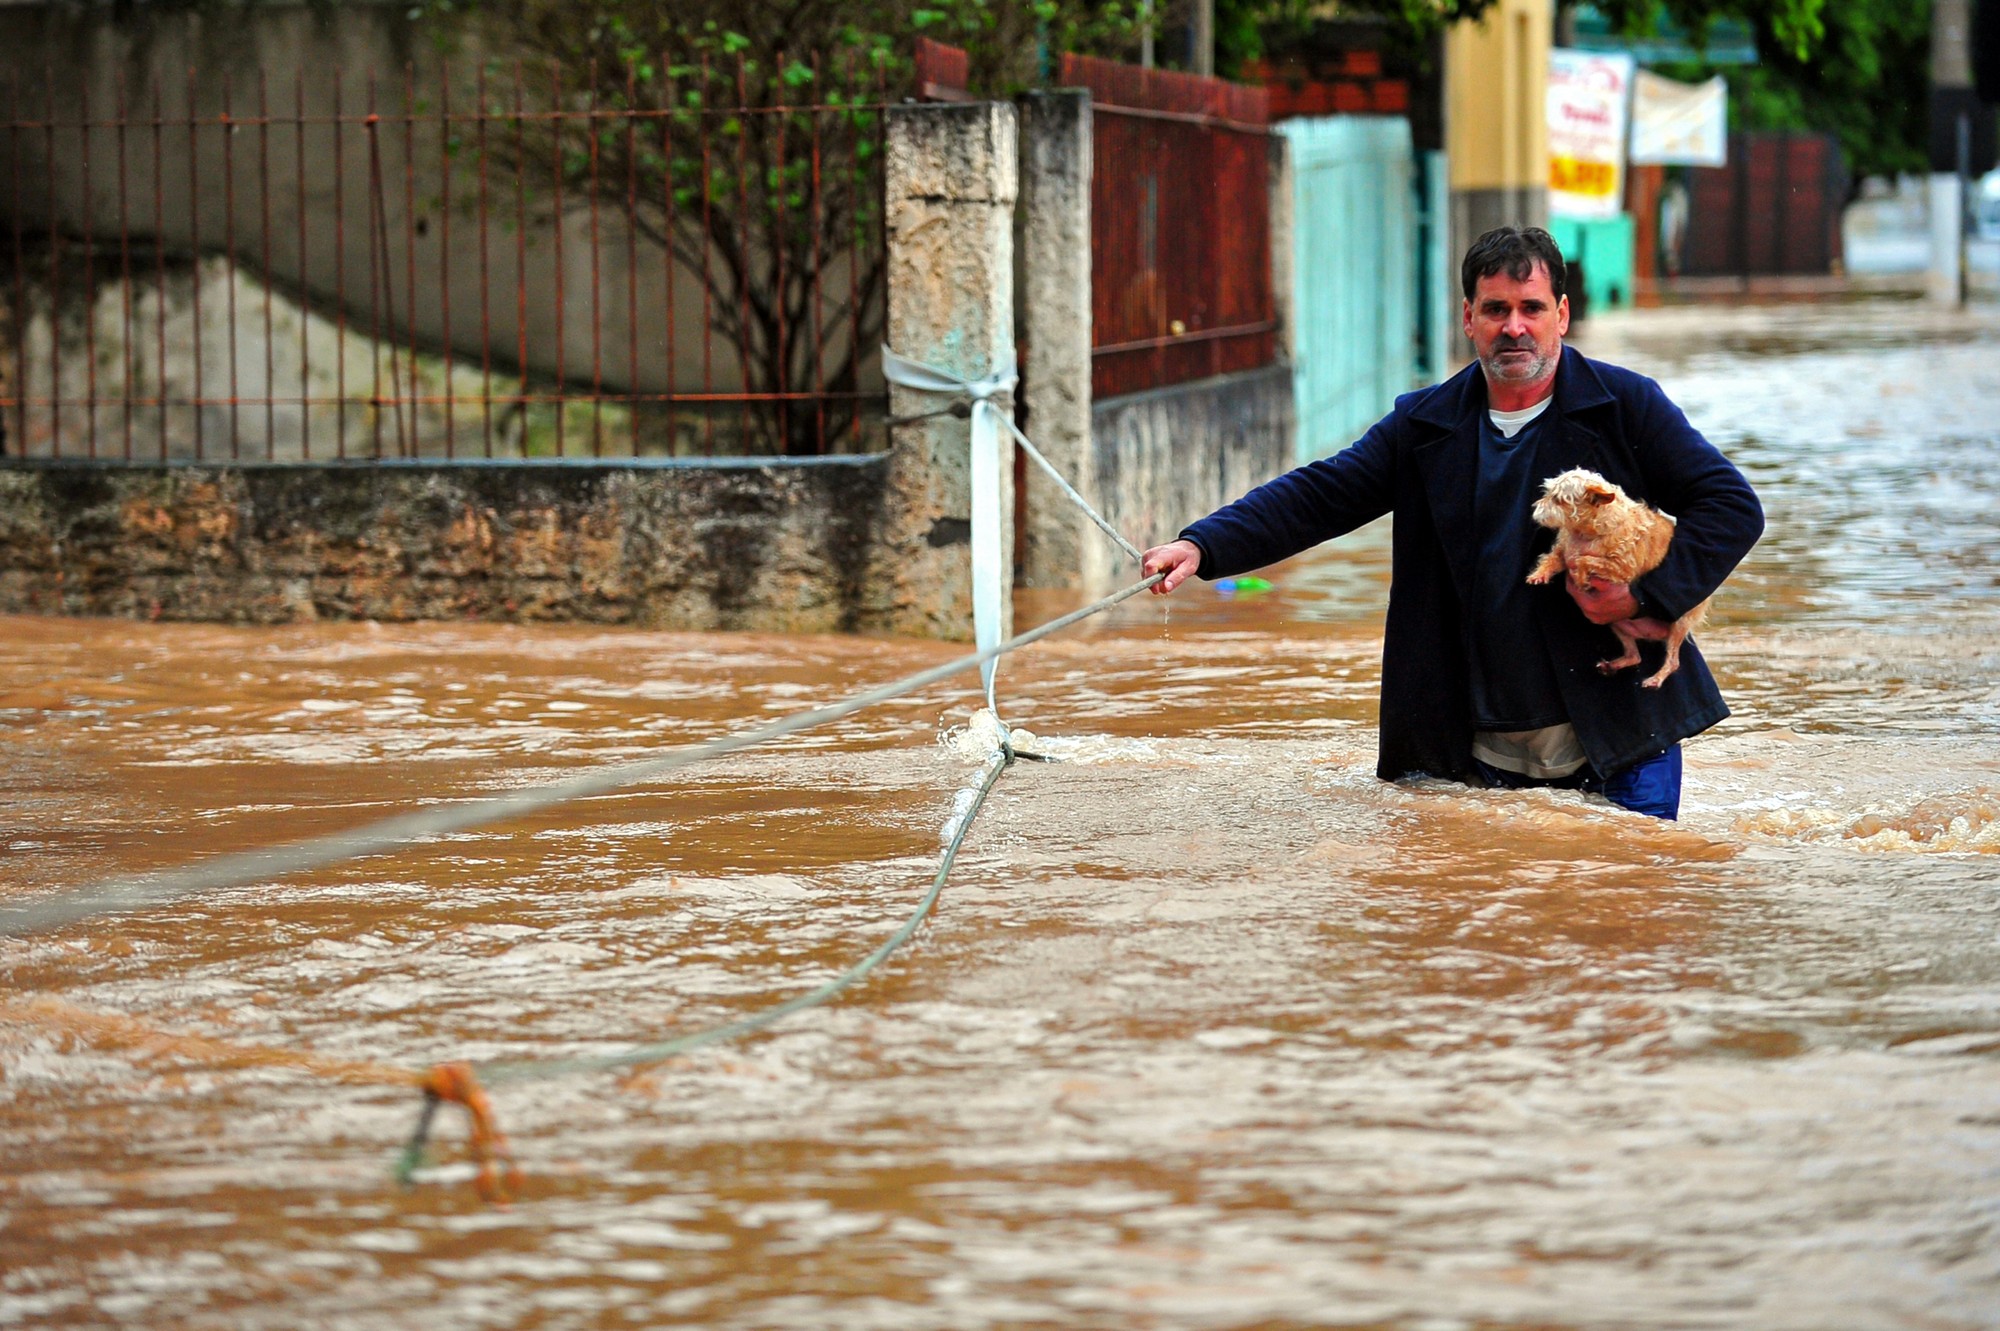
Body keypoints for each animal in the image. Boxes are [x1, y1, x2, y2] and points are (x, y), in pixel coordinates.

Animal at [1528, 465, 1704, 687]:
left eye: (1558, 499)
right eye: (1548, 493)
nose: (1534, 506)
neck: (1587, 534)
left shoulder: (1621, 569)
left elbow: (1584, 560)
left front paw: (1581, 579)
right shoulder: (1563, 551)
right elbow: (1552, 558)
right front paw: (1539, 574)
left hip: (1678, 622)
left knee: (1673, 661)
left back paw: (1656, 678)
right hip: (1616, 623)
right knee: (1634, 656)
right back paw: (1612, 665)